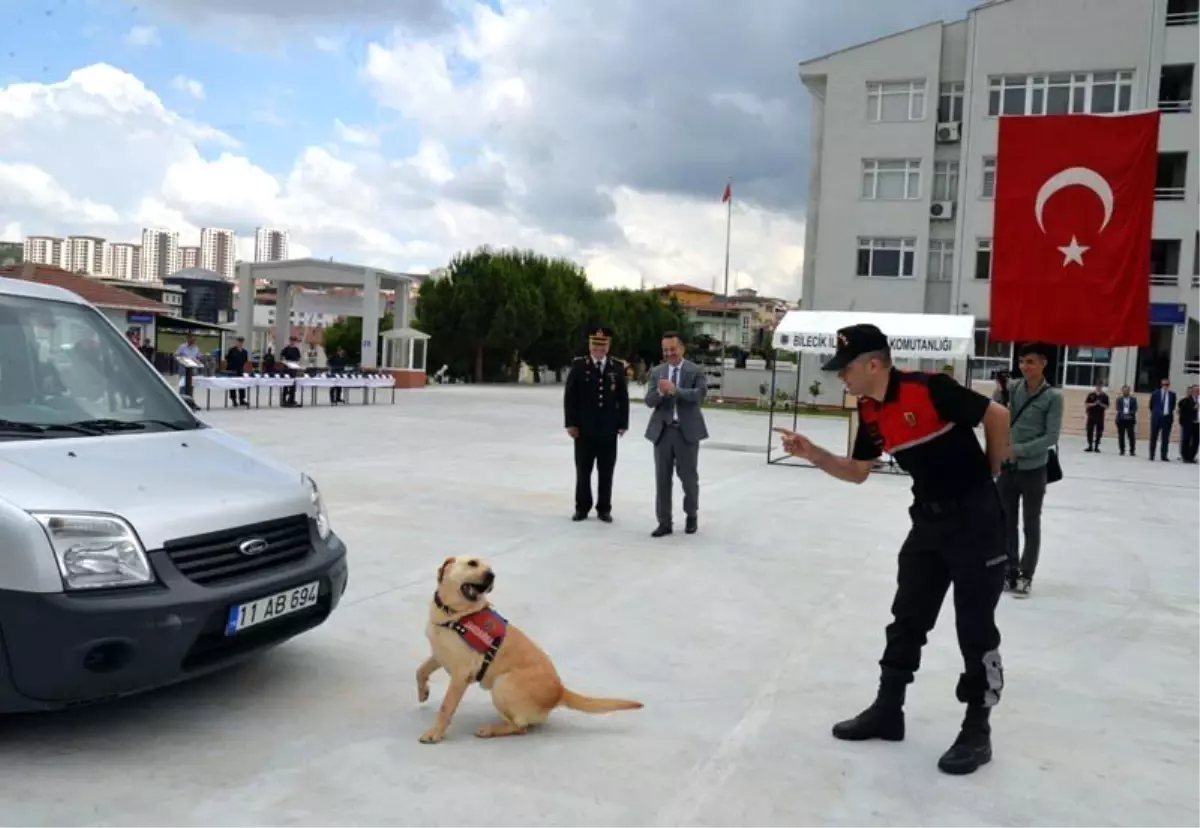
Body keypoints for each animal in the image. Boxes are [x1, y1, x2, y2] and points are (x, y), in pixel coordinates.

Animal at [417, 554, 643, 744]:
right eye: (472, 563)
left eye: (490, 569)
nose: (492, 576)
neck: (453, 614)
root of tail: (560, 691)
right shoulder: (439, 655)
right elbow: (420, 671)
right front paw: (423, 693)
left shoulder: (461, 674)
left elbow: (446, 707)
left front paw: (435, 733)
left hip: (503, 684)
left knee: (519, 727)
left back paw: (490, 729)